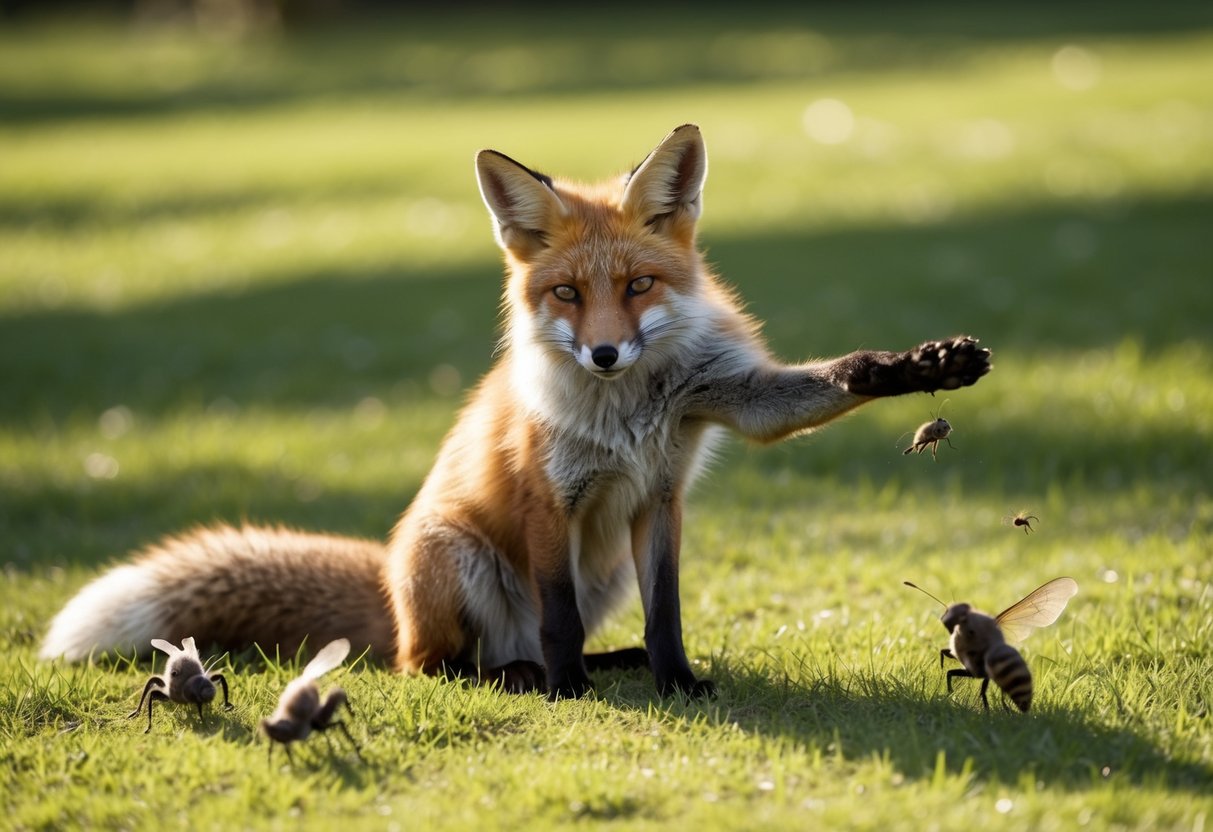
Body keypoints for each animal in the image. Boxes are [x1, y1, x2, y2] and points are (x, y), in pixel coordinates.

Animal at [41, 124, 991, 699]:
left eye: (638, 286)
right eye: (567, 294)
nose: (604, 353)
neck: (629, 411)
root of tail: (389, 595)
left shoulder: (670, 480)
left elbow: (669, 611)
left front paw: (927, 366)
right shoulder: (550, 496)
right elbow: (557, 612)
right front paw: (574, 691)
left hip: (606, 566)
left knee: (544, 638)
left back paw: (613, 664)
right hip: (458, 562)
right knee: (441, 666)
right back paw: (530, 678)